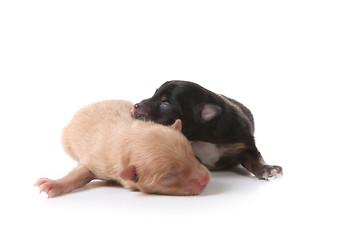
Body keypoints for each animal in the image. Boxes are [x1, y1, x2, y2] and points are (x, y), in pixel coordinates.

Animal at [34, 99, 210, 197]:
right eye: (168, 177)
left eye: (191, 154)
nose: (206, 179)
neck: (129, 139)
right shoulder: (99, 160)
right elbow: (79, 173)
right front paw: (54, 184)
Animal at [134, 80, 282, 180]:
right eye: (154, 94)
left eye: (166, 102)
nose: (136, 105)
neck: (200, 138)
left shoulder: (244, 143)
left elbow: (255, 159)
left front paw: (267, 169)